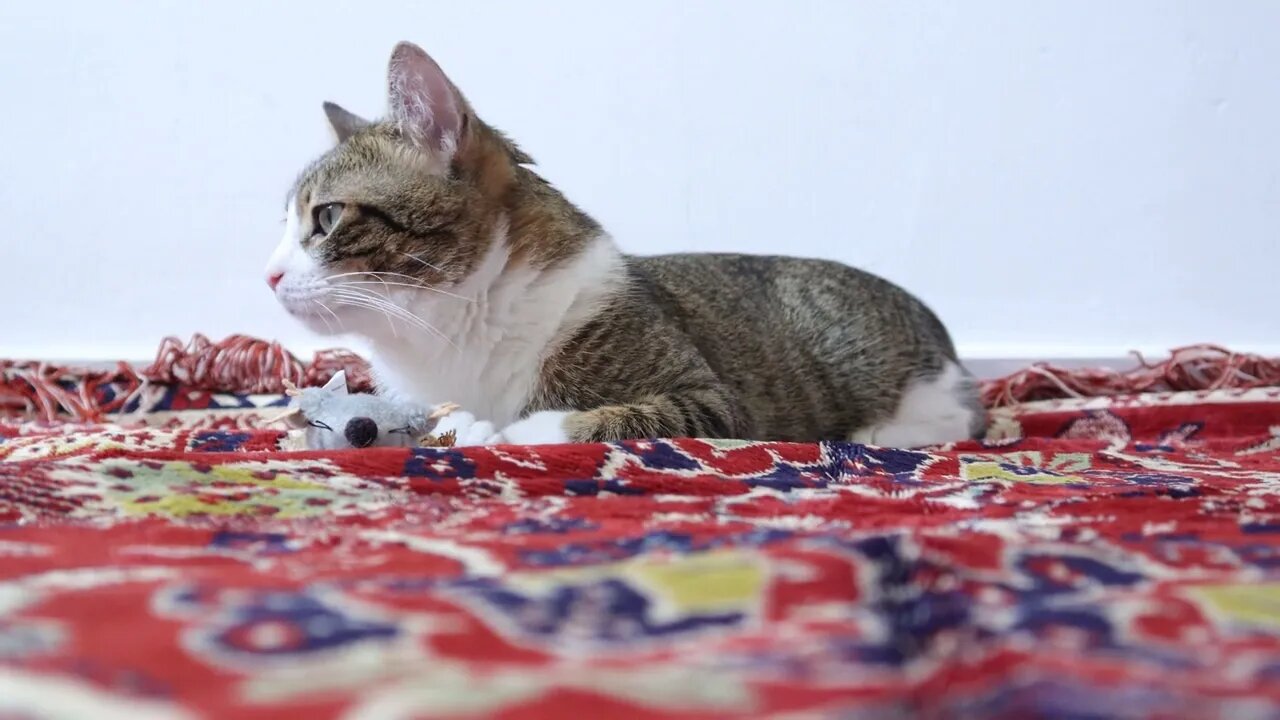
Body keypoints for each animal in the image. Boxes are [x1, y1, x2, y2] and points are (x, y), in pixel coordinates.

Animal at [264, 41, 983, 445]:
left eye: (326, 218)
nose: (268, 276)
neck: (453, 331)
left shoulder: (716, 403)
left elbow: (612, 415)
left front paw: (510, 429)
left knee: (962, 421)